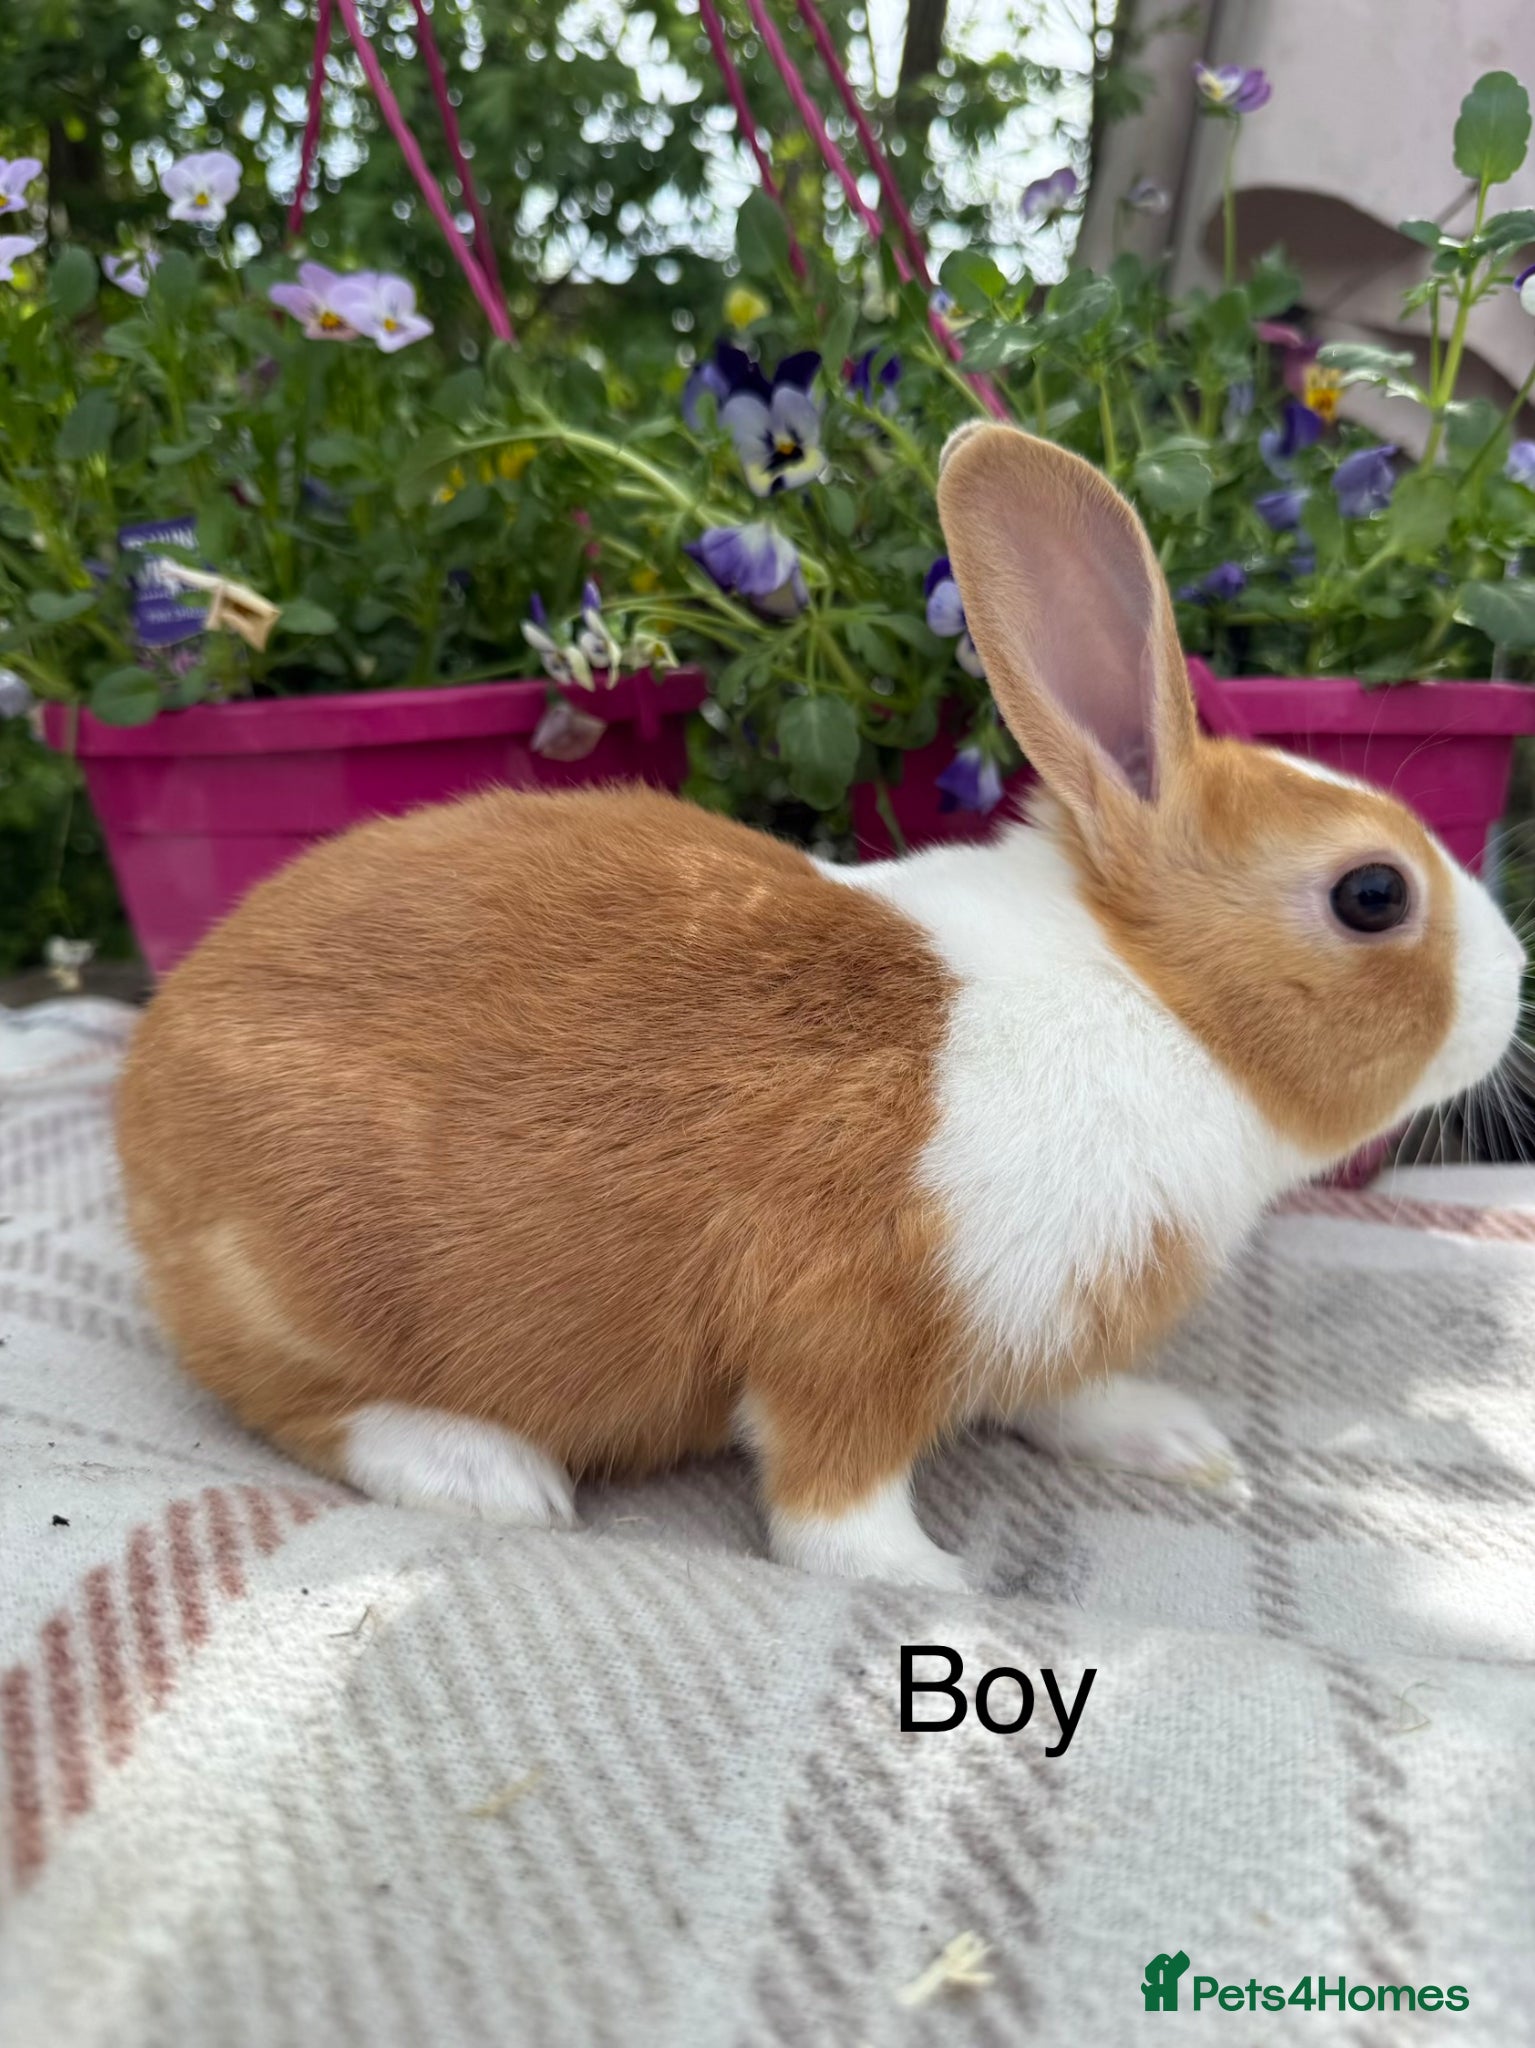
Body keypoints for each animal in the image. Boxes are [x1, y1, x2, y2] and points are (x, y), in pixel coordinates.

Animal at [115, 425, 1526, 1590]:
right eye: (1369, 894)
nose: (1511, 985)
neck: (1153, 1001)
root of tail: (145, 1098)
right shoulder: (848, 1332)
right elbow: (830, 1512)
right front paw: (942, 1588)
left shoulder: (1042, 1322)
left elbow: (1061, 1396)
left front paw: (1173, 1438)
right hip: (316, 1283)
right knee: (294, 1402)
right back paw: (483, 1471)